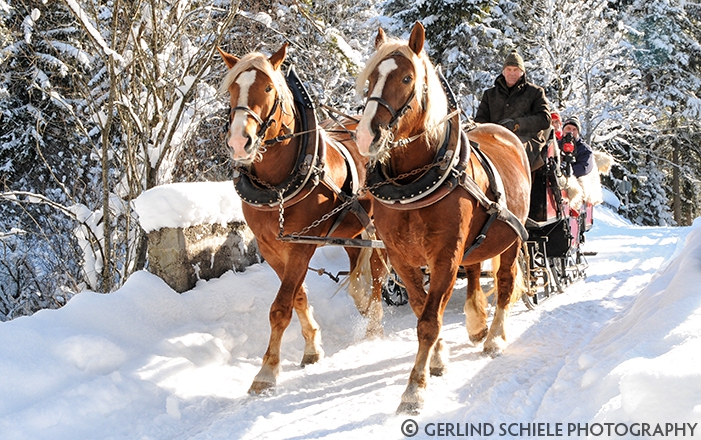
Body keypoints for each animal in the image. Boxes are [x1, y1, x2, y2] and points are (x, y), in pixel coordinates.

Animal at [217, 43, 386, 396]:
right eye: (232, 88)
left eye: (269, 87)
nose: (239, 142)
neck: (281, 182)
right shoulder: (271, 247)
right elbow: (297, 296)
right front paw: (312, 348)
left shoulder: (302, 246)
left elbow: (280, 306)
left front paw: (267, 372)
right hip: (356, 231)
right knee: (360, 276)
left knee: (378, 272)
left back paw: (374, 326)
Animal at [356, 22, 532, 414]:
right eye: (371, 76)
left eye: (407, 78)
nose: (365, 136)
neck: (414, 183)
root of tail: (505, 131)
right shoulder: (401, 257)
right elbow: (421, 308)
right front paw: (437, 360)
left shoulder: (445, 256)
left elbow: (428, 321)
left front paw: (414, 389)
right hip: (476, 244)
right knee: (475, 274)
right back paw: (477, 324)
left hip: (513, 239)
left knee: (505, 283)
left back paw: (493, 337)